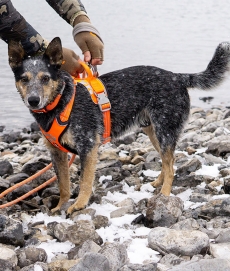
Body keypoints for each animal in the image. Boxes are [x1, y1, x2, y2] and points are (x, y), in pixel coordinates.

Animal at [8, 37, 230, 215]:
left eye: (45, 78)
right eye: (24, 79)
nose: (33, 100)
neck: (61, 102)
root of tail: (178, 76)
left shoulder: (88, 147)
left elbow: (84, 182)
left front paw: (79, 204)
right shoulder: (57, 154)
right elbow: (63, 185)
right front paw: (59, 206)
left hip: (165, 131)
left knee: (171, 167)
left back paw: (165, 194)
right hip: (154, 132)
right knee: (167, 162)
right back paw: (158, 182)